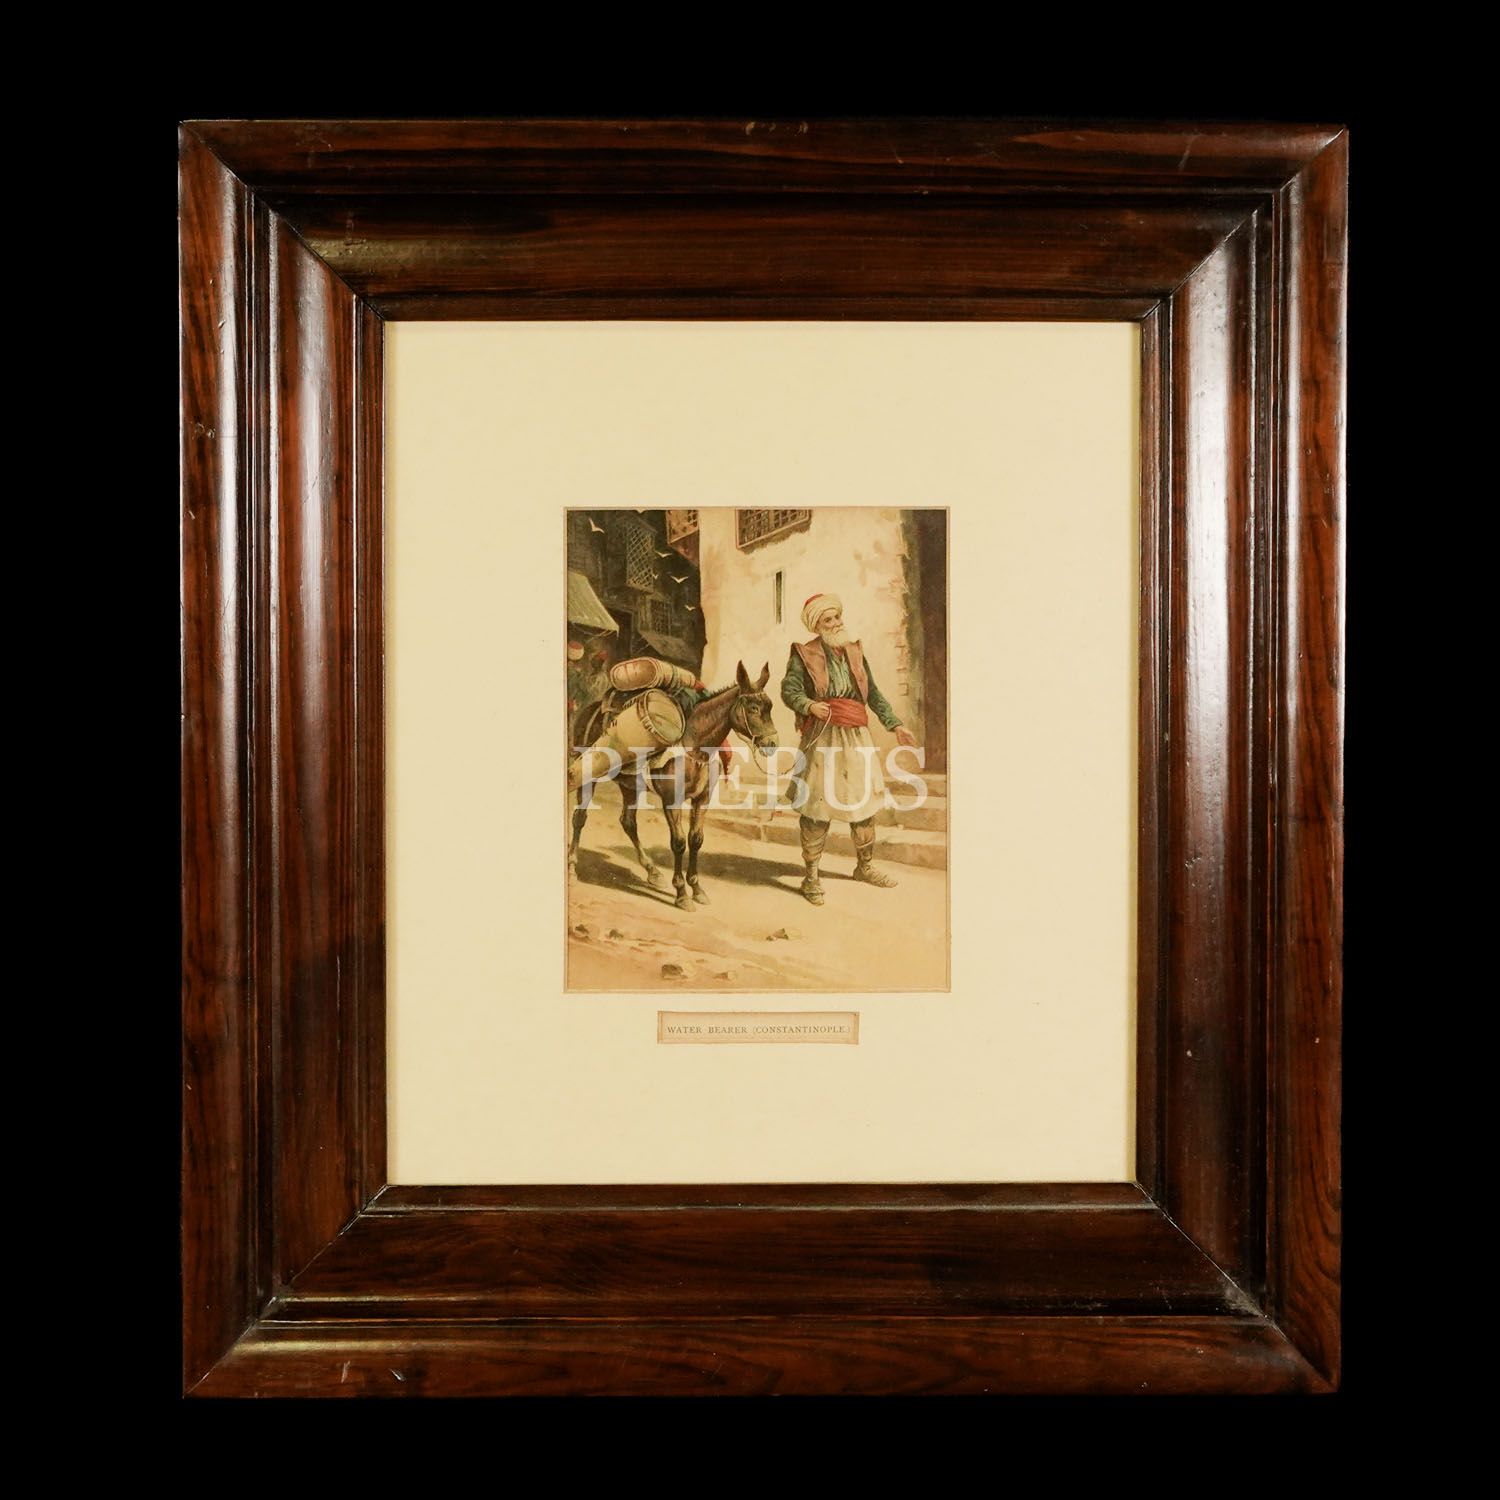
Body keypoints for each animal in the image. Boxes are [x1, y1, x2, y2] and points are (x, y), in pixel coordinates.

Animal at [568, 661, 778, 911]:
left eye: (770, 707)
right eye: (754, 708)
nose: (772, 743)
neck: (694, 746)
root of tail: (591, 708)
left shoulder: (702, 799)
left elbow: (696, 839)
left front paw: (696, 888)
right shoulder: (671, 800)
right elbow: (678, 842)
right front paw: (681, 893)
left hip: (629, 785)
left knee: (628, 822)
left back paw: (653, 871)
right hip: (588, 776)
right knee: (580, 818)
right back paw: (572, 867)